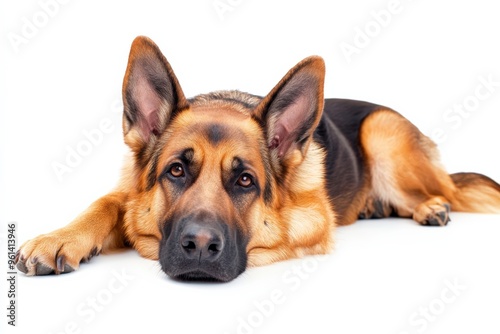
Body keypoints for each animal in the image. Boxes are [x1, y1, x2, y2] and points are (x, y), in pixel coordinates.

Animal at [15, 36, 500, 282]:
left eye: (245, 180)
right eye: (176, 170)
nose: (200, 246)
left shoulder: (312, 221)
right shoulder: (128, 192)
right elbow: (106, 204)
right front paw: (61, 238)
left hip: (383, 132)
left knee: (448, 190)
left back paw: (429, 206)